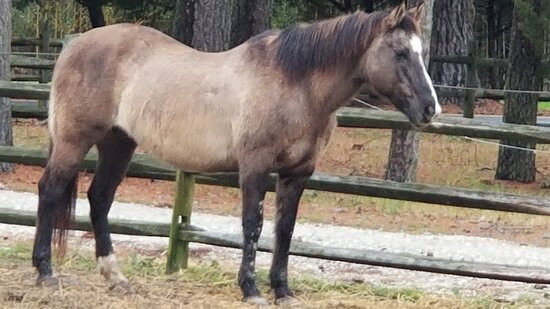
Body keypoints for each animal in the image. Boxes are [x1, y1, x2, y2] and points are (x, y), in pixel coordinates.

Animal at [32, 1, 442, 306]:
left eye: (421, 53)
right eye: (400, 53)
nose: (430, 109)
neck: (296, 85)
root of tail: (75, 45)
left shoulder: (298, 173)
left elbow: (285, 229)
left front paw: (282, 290)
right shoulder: (254, 168)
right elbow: (252, 226)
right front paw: (251, 289)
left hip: (118, 143)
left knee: (99, 199)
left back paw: (115, 276)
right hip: (74, 140)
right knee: (51, 192)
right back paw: (45, 272)